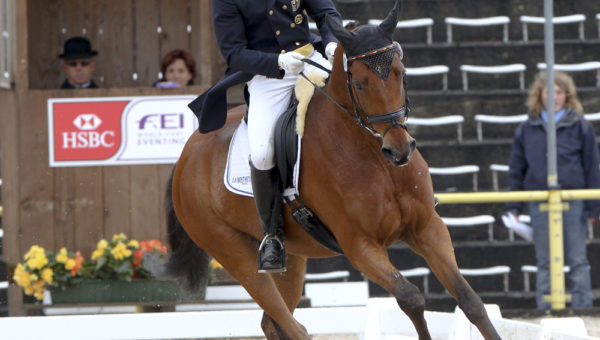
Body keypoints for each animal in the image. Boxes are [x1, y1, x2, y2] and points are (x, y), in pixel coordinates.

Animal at [165, 3, 502, 340]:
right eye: (359, 83)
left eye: (401, 74)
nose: (400, 150)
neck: (375, 158)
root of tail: (186, 155)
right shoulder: (360, 245)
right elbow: (411, 298)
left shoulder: (427, 227)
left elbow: (470, 301)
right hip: (235, 255)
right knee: (291, 323)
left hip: (293, 260)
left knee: (273, 323)